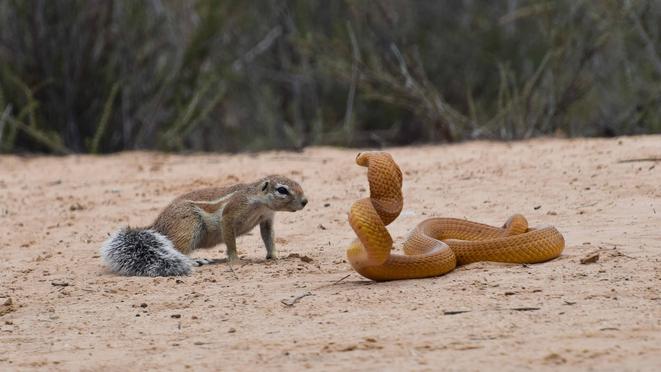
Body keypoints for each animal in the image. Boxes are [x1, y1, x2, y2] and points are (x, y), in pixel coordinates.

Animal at [100, 175, 306, 276]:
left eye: (298, 183)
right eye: (282, 190)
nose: (305, 201)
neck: (259, 202)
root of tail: (156, 226)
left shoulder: (267, 219)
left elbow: (268, 236)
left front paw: (275, 256)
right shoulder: (232, 212)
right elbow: (229, 237)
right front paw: (235, 259)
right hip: (188, 226)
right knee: (178, 250)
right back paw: (195, 261)